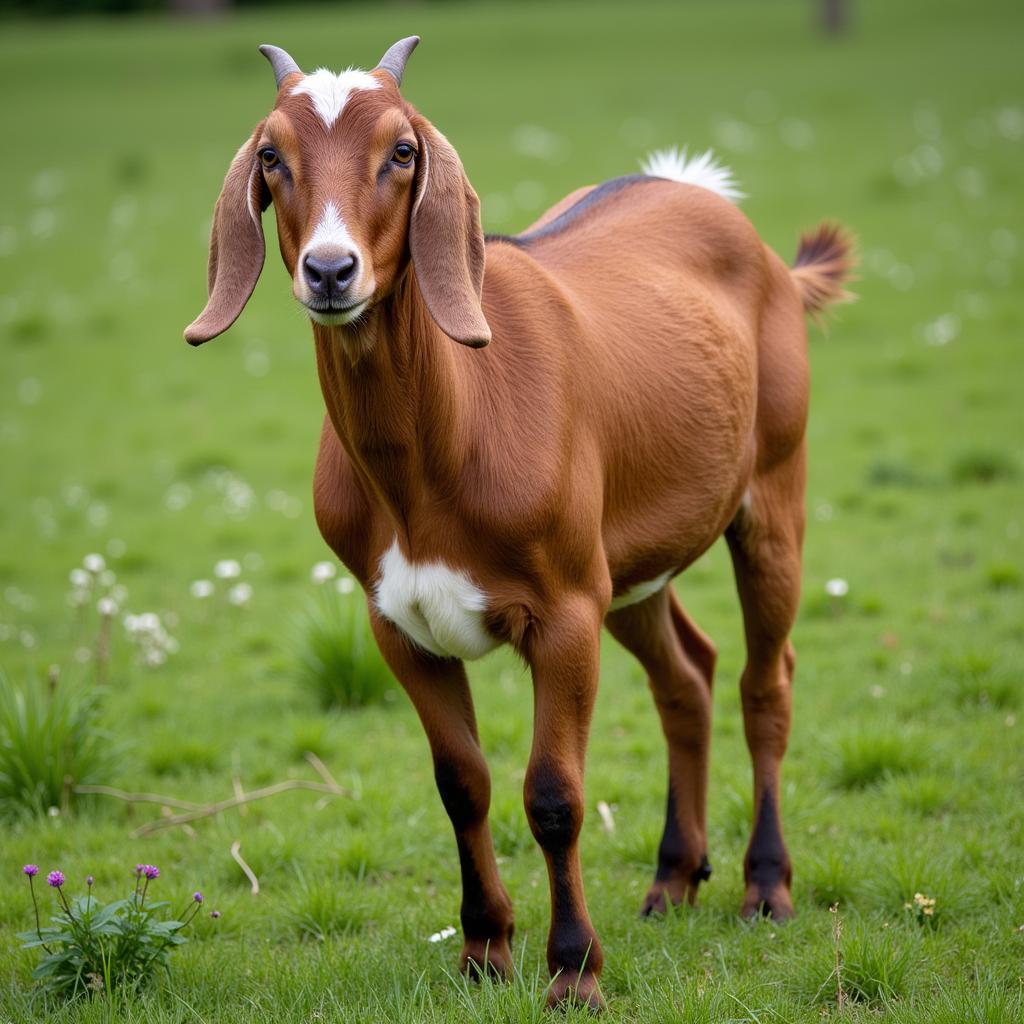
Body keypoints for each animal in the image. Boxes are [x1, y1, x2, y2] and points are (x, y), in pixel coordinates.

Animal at [184, 37, 856, 1007]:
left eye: (402, 150)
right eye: (271, 156)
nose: (331, 271)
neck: (442, 444)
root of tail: (721, 211)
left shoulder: (565, 608)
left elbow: (554, 795)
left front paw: (573, 970)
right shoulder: (399, 623)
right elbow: (461, 783)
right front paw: (484, 951)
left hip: (772, 488)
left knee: (765, 681)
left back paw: (765, 887)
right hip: (631, 566)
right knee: (686, 676)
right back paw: (672, 878)